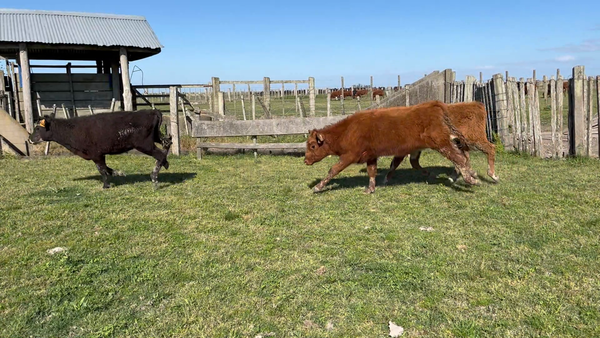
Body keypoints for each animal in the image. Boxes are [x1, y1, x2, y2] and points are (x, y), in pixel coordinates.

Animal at [304, 100, 478, 194]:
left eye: (312, 146)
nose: (305, 161)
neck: (347, 130)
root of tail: (434, 105)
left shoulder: (349, 156)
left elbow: (333, 169)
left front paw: (318, 187)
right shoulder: (371, 156)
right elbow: (372, 171)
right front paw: (370, 188)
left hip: (442, 144)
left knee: (459, 158)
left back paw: (470, 178)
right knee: (461, 154)